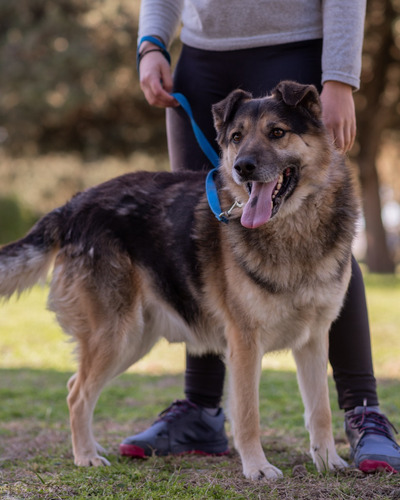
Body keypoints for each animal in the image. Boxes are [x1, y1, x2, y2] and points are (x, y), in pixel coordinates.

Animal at [0, 82, 360, 480]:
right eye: (236, 138)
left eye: (277, 132)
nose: (242, 168)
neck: (295, 229)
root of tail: (72, 207)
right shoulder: (245, 344)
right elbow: (248, 414)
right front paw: (257, 467)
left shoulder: (314, 340)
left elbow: (321, 410)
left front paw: (328, 461)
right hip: (116, 335)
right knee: (77, 393)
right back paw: (85, 456)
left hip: (134, 339)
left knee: (75, 386)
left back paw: (91, 447)